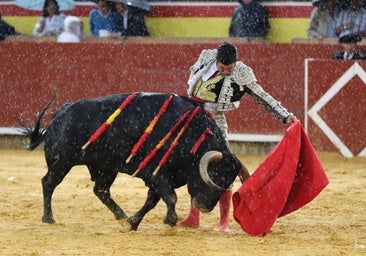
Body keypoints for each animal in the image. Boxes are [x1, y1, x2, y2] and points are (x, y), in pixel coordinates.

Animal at [25, 93, 249, 231]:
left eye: (228, 180)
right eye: (215, 174)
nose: (204, 207)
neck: (193, 138)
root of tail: (61, 111)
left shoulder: (158, 178)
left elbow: (153, 201)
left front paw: (132, 222)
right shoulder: (158, 174)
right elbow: (170, 198)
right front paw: (168, 222)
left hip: (106, 167)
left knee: (101, 190)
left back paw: (121, 215)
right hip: (62, 162)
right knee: (48, 182)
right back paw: (48, 217)